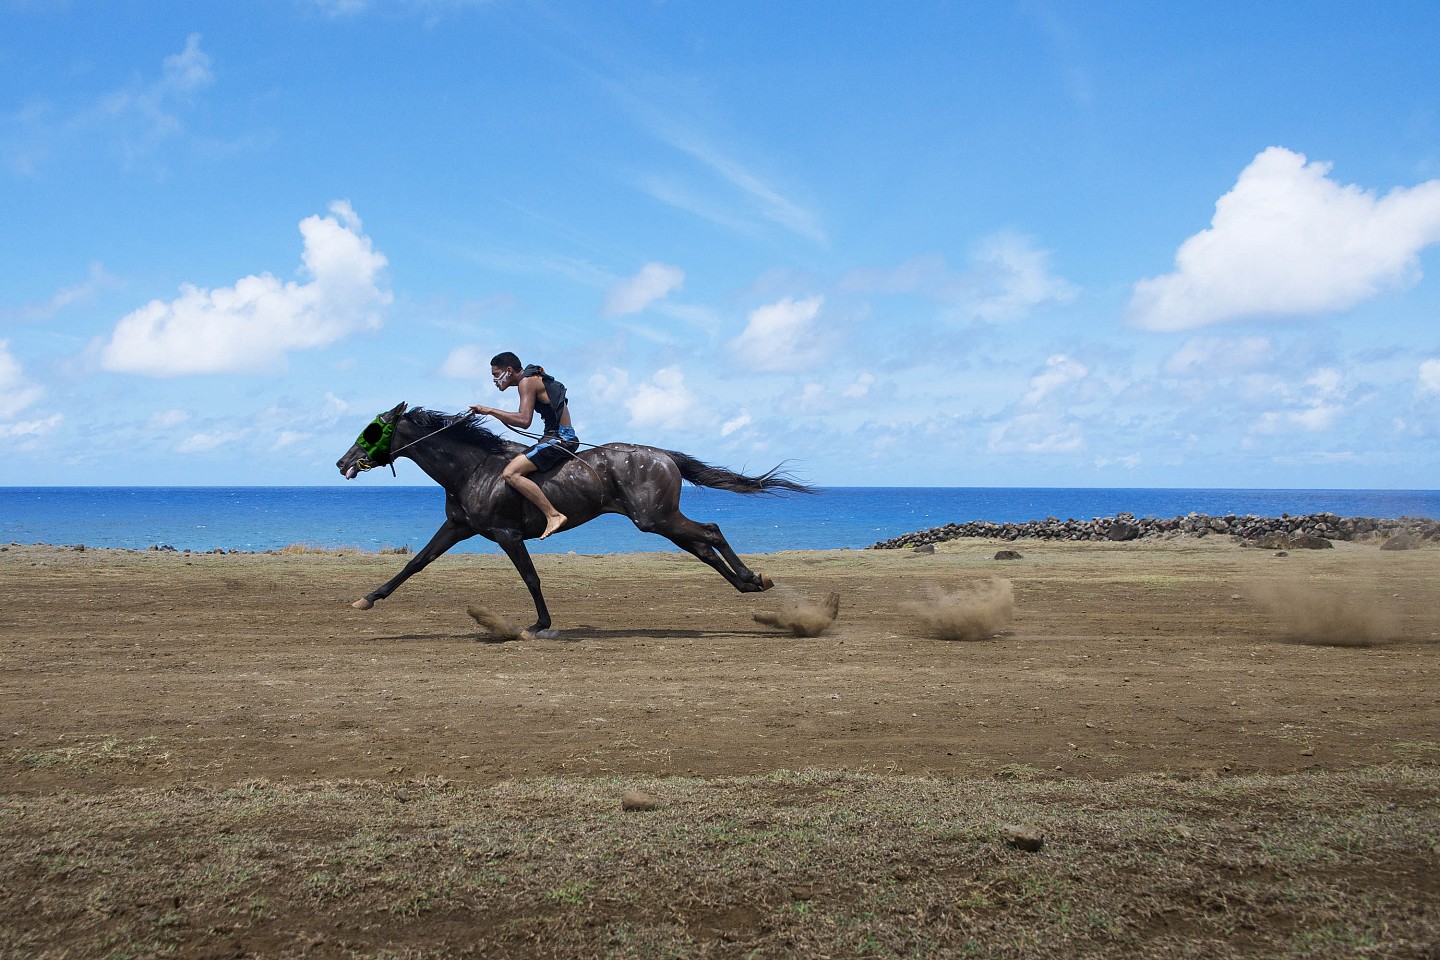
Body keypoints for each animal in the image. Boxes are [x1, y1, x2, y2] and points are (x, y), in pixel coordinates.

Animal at [334, 402, 812, 633]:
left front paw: (540, 624)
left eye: (371, 430)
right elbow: (416, 563)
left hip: (655, 518)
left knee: (710, 531)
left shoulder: (507, 534)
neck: (473, 467)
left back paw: (753, 578)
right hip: (659, 520)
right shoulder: (459, 527)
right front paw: (368, 598)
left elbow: (531, 578)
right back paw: (749, 583)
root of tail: (663, 455)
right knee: (703, 546)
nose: (343, 462)